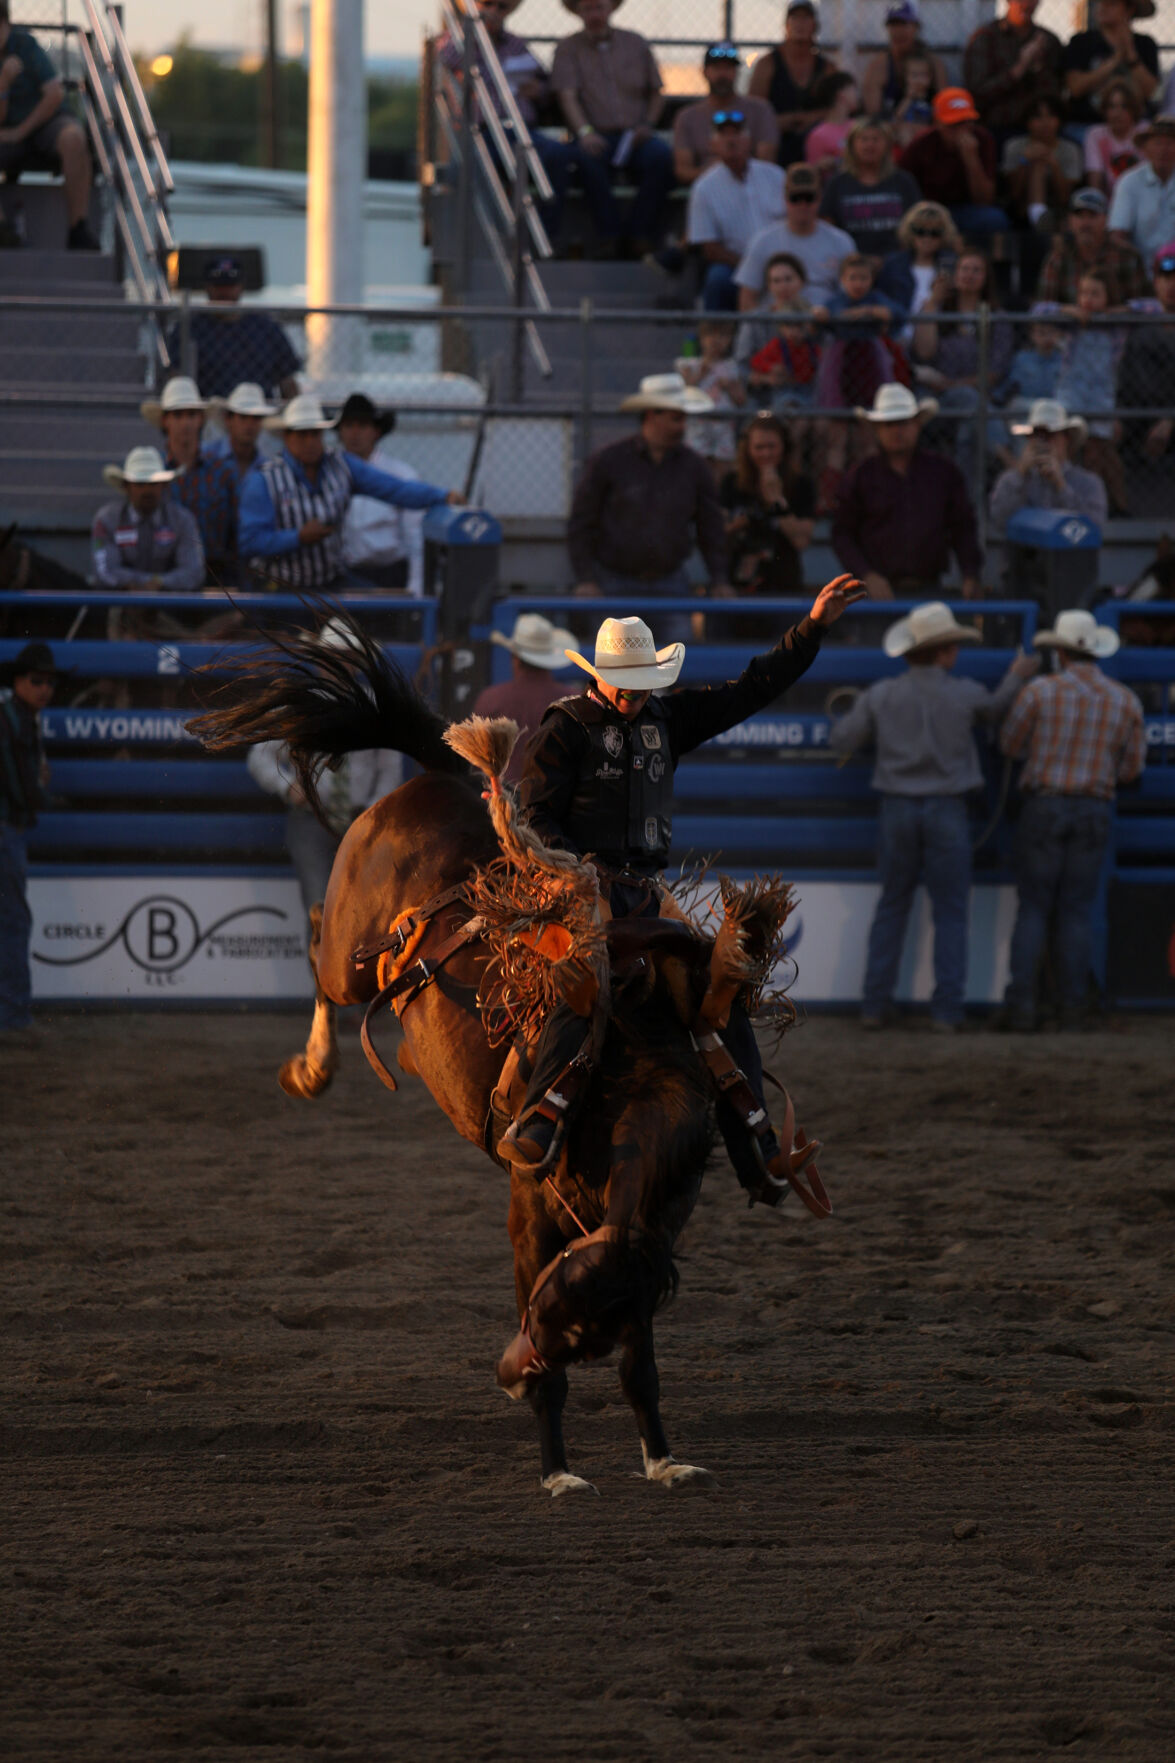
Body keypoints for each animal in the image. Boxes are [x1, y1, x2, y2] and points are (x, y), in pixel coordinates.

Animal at [189, 627, 815, 1495]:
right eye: (547, 1307)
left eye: (581, 1327)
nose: (509, 1373)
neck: (632, 1087)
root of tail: (444, 775)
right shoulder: (528, 1208)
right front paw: (557, 1471)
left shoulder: (645, 1241)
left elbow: (641, 1369)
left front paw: (661, 1457)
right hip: (350, 948)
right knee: (318, 945)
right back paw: (309, 1067)